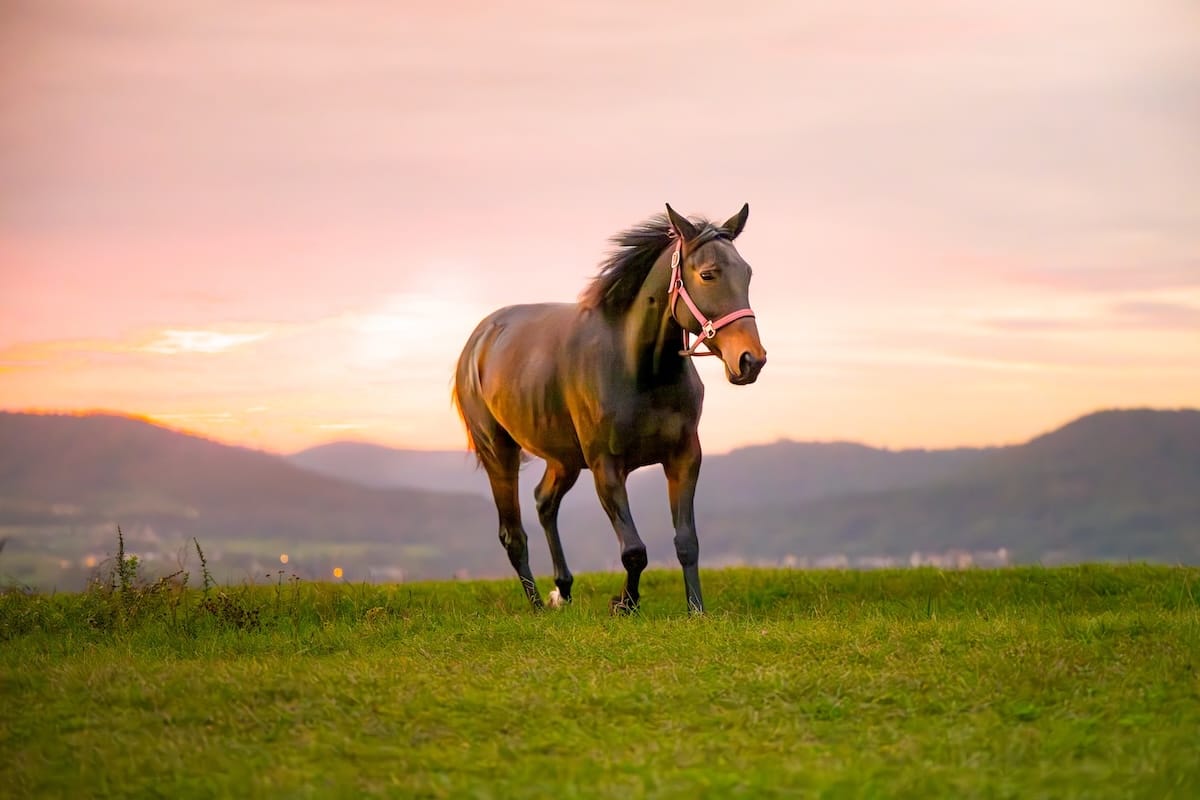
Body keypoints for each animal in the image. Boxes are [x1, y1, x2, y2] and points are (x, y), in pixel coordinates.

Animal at [452, 204, 766, 614]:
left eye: (747, 273)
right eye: (708, 274)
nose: (751, 360)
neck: (641, 369)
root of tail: (479, 339)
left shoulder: (684, 457)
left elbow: (686, 541)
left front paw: (696, 610)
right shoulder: (606, 465)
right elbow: (634, 550)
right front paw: (625, 604)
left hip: (564, 459)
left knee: (544, 503)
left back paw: (562, 589)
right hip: (499, 452)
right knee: (513, 533)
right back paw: (537, 606)